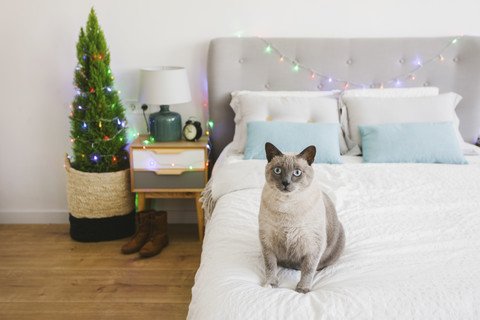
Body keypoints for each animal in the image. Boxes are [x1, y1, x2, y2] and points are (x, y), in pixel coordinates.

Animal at [258, 144, 344, 294]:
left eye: (297, 172)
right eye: (277, 170)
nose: (286, 183)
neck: (287, 205)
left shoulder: (313, 246)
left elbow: (308, 270)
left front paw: (303, 289)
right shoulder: (267, 242)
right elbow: (270, 266)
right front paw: (270, 284)